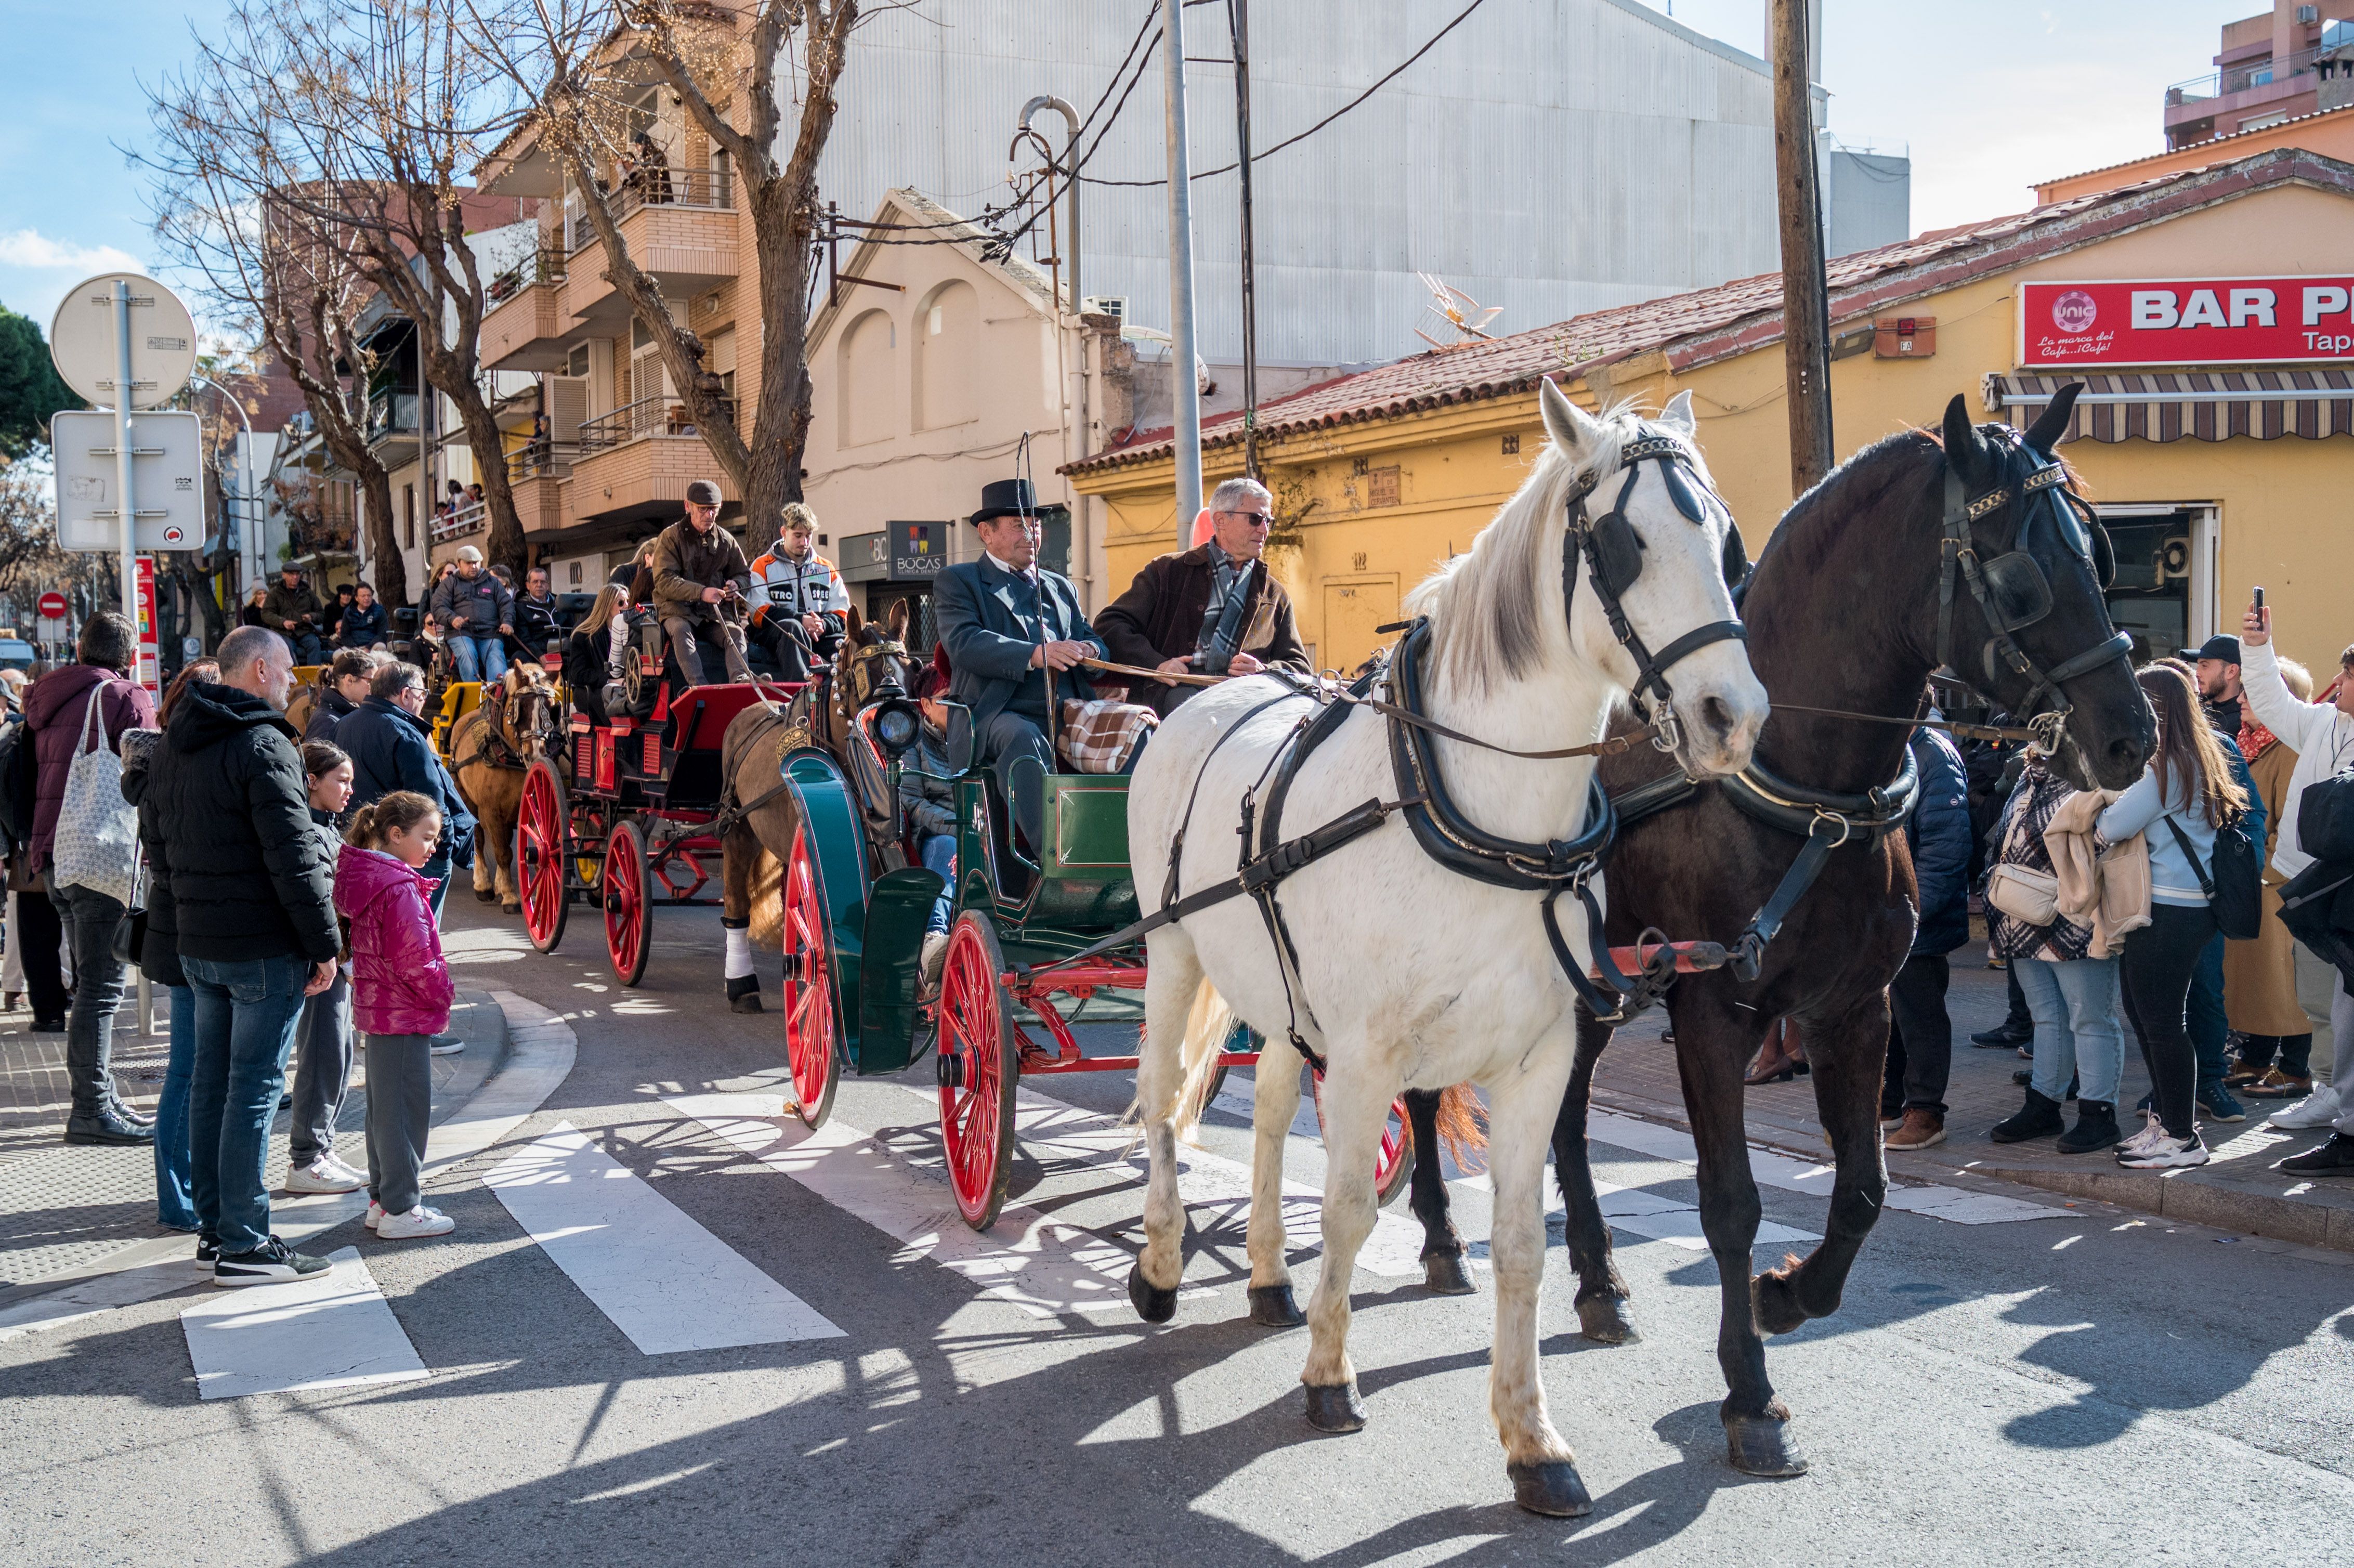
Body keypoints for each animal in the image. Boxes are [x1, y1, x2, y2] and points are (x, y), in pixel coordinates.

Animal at [442, 654, 555, 904]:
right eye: (521, 707)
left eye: (551, 708)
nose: (536, 754)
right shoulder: (491, 810)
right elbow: (503, 852)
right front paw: (511, 896)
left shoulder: (533, 805)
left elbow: (535, 847)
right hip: (468, 800)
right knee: (479, 838)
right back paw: (483, 884)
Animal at [711, 598, 913, 1012]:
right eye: (867, 676)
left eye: (910, 669)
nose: (898, 728)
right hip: (737, 828)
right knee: (737, 903)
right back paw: (742, 986)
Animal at [1125, 381, 1770, 1516]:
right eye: (1622, 545)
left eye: (1727, 542)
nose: (1730, 717)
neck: (1480, 817)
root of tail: (1210, 691)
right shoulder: (1366, 1056)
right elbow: (1344, 1206)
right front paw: (1329, 1378)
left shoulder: (1538, 1058)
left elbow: (1518, 1243)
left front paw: (1533, 1440)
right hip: (1172, 957)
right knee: (1163, 1100)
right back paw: (1160, 1269)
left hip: (1279, 999)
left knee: (1267, 1119)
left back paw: (1266, 1275)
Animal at [1393, 390, 2156, 1478]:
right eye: (2016, 577)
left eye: (2095, 551)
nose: (2131, 735)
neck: (1807, 794)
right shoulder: (1713, 1012)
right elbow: (1730, 1202)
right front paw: (1749, 1394)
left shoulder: (1854, 1010)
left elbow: (1863, 1189)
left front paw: (1790, 1295)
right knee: (1423, 1094)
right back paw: (1440, 1239)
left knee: (1569, 1125)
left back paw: (1598, 1282)